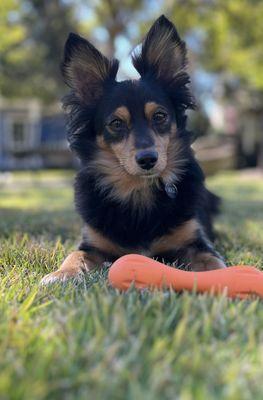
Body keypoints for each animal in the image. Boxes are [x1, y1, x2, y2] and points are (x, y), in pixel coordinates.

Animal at [41, 15, 227, 284]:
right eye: (116, 123)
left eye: (159, 116)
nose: (148, 159)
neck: (138, 190)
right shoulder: (92, 244)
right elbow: (75, 255)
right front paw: (61, 274)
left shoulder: (195, 242)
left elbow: (213, 261)